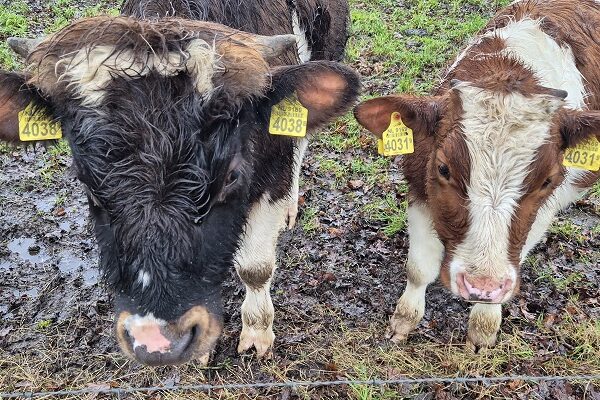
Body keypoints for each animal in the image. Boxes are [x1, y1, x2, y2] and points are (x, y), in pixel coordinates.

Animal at [0, 0, 358, 366]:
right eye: (87, 184)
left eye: (230, 177)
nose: (157, 341)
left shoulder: (273, 166)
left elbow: (255, 267)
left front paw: (257, 334)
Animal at [356, 0, 600, 348]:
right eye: (444, 168)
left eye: (547, 180)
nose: (481, 286)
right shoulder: (419, 184)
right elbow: (419, 267)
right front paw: (404, 320)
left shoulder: (549, 205)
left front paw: (484, 326)